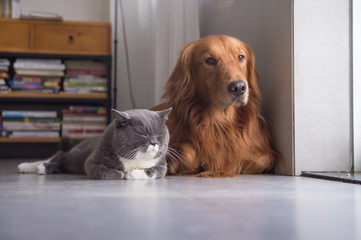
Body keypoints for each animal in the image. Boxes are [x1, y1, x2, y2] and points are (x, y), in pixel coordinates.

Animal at [17, 109, 172, 180]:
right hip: (73, 154)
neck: (135, 159)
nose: (154, 142)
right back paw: (30, 166)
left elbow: (153, 171)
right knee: (55, 158)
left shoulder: (162, 165)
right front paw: (121, 173)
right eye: (142, 133)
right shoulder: (92, 162)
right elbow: (105, 171)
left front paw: (132, 173)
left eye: (159, 134)